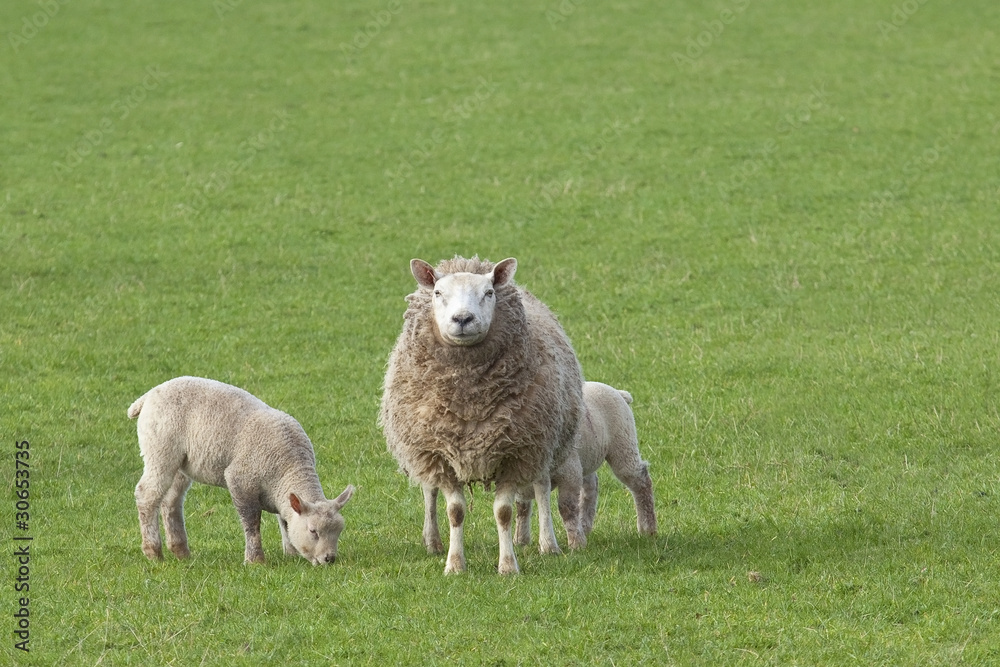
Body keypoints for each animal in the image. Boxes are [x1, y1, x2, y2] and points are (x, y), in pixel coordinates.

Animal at [128, 378, 356, 568]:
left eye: (339, 531)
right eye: (313, 531)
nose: (329, 559)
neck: (289, 467)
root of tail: (148, 396)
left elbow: (285, 520)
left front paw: (290, 553)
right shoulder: (240, 480)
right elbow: (251, 522)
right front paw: (255, 560)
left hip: (180, 463)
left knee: (171, 501)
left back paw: (181, 551)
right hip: (160, 449)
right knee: (147, 494)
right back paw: (153, 552)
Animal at [382, 256, 584, 576]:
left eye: (488, 292)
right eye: (438, 293)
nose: (463, 319)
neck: (469, 402)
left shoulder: (516, 453)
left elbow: (504, 512)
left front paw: (508, 565)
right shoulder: (439, 453)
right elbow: (455, 511)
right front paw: (454, 564)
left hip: (542, 441)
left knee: (541, 488)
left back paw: (548, 544)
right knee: (429, 491)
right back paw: (432, 541)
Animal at [516, 384, 656, 552]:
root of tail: (619, 392)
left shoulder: (570, 472)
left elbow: (566, 507)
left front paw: (575, 544)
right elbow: (521, 508)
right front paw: (520, 540)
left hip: (623, 444)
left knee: (641, 480)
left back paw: (647, 528)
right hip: (587, 456)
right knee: (591, 487)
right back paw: (584, 525)